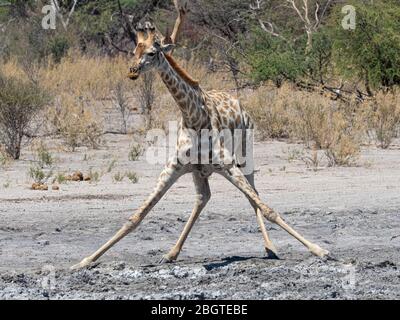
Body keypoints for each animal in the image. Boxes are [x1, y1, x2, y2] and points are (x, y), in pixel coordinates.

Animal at [70, 8, 330, 270]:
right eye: (134, 51)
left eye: (152, 53)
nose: (132, 71)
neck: (193, 116)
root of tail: (239, 103)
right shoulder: (175, 166)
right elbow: (137, 215)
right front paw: (85, 261)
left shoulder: (227, 164)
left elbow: (267, 209)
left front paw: (320, 250)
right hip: (201, 172)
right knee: (204, 198)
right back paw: (172, 253)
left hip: (246, 157)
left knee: (254, 195)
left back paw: (270, 248)